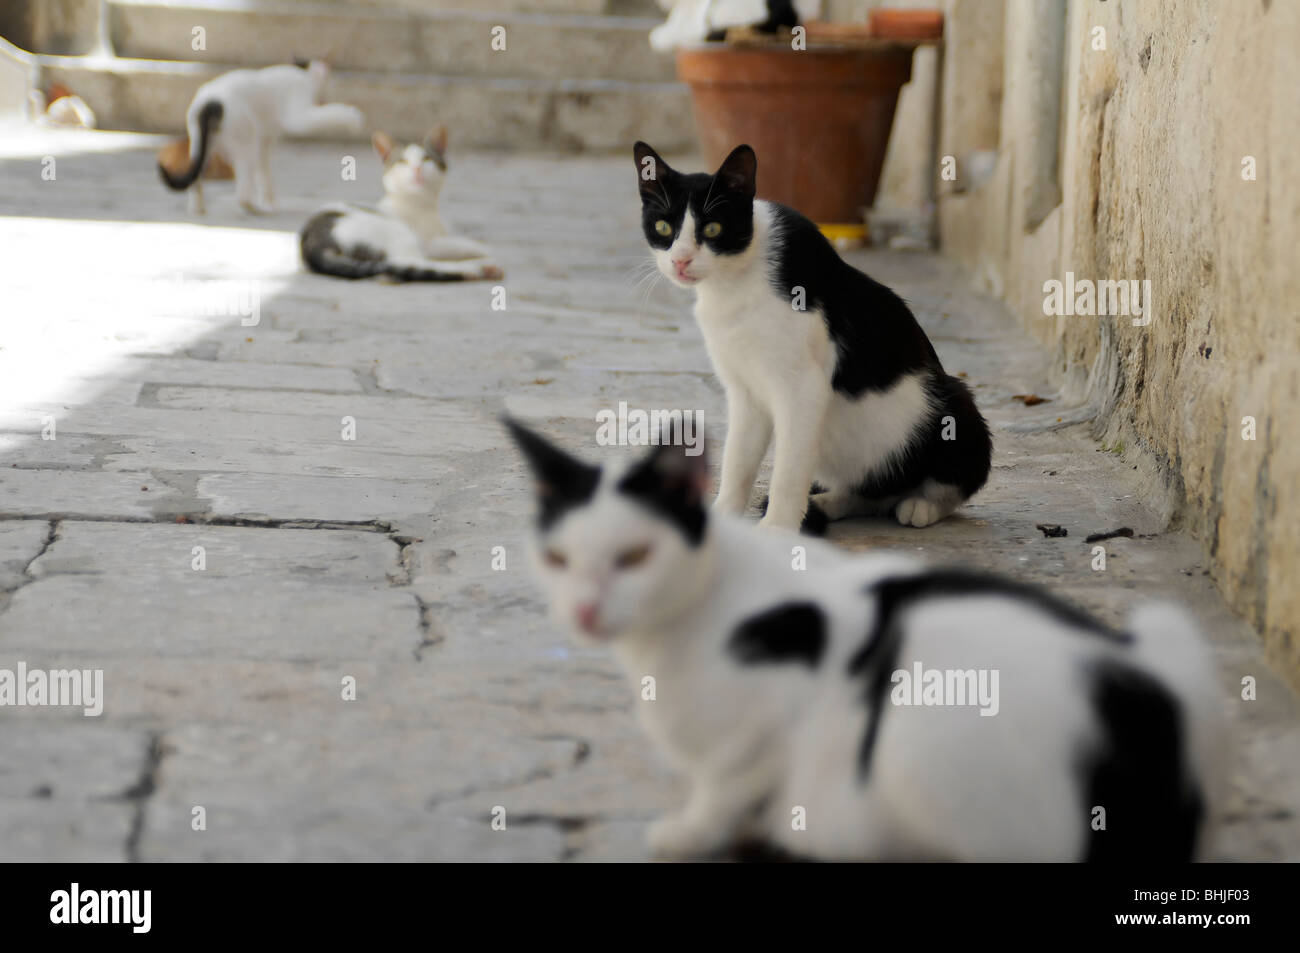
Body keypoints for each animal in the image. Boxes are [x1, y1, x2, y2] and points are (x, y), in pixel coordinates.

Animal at [299, 128, 501, 280]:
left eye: (427, 159)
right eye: (403, 162)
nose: (417, 169)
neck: (421, 205)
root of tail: (310, 244)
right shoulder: (428, 242)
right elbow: (459, 242)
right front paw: (487, 250)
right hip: (396, 231)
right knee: (412, 262)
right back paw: (476, 267)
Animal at [634, 139, 987, 535]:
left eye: (712, 229)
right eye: (663, 226)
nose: (680, 260)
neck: (735, 282)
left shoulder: (802, 388)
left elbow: (789, 468)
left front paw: (777, 530)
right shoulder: (746, 391)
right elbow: (738, 460)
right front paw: (725, 517)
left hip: (956, 405)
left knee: (950, 480)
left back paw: (921, 504)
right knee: (868, 494)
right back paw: (830, 502)